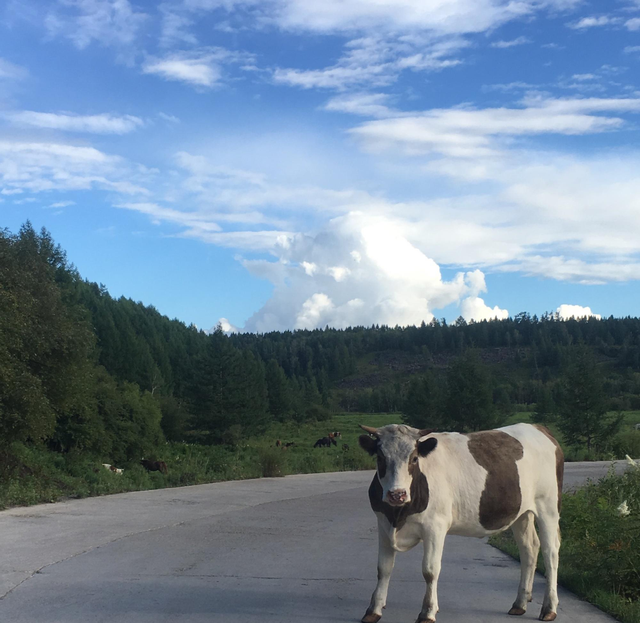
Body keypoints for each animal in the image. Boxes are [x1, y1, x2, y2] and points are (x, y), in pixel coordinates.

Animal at [358, 424, 564, 623]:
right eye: (380, 458)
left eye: (414, 458)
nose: (397, 494)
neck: (399, 515)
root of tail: (538, 428)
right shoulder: (384, 524)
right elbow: (383, 569)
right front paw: (373, 610)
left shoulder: (435, 527)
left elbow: (430, 570)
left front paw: (427, 612)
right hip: (522, 513)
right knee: (529, 548)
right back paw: (520, 604)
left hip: (548, 507)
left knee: (550, 552)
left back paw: (549, 608)